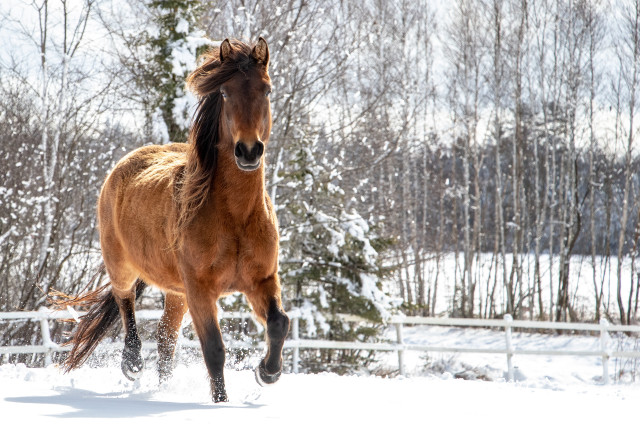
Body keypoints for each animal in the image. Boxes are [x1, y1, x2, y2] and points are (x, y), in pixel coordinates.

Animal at [54, 38, 289, 403]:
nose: (249, 151)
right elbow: (214, 350)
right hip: (123, 265)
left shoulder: (261, 280)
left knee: (166, 341)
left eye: (267, 90)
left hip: (176, 292)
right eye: (224, 93)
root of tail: (124, 164)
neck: (235, 218)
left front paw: (267, 372)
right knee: (126, 303)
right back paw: (132, 362)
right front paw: (221, 403)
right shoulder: (200, 290)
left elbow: (279, 322)